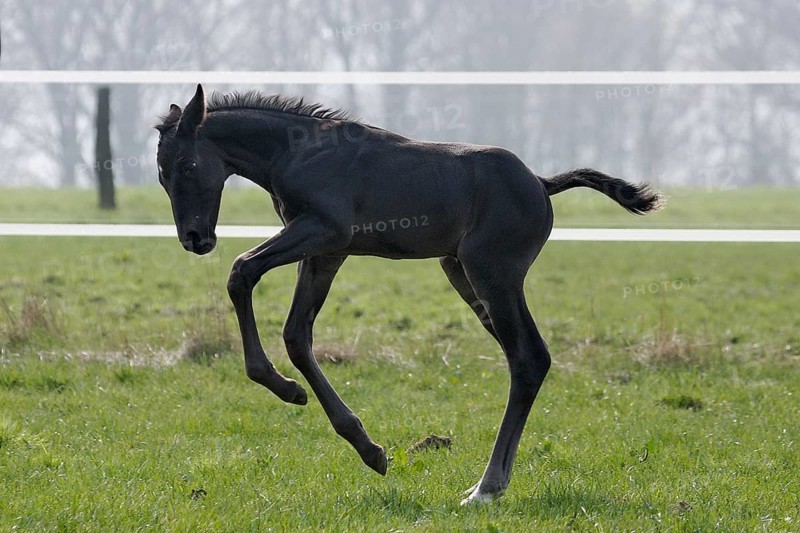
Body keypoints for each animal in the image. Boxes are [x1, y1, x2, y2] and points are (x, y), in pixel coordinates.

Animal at [155, 84, 662, 504]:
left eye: (188, 165)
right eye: (161, 176)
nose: (195, 239)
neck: (297, 151)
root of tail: (541, 183)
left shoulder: (323, 231)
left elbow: (241, 272)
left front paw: (284, 387)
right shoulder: (326, 252)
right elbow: (297, 335)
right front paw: (365, 446)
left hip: (492, 272)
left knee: (528, 357)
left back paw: (485, 489)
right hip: (461, 272)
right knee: (526, 360)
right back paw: (487, 483)